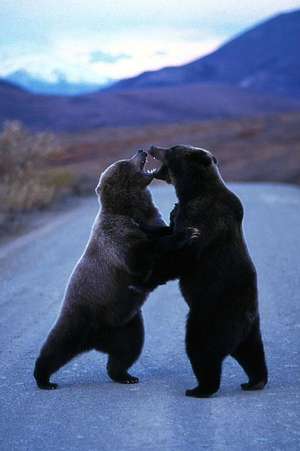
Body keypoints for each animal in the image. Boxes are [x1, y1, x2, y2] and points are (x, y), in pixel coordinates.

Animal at [149, 145, 268, 400]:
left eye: (171, 149)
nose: (153, 147)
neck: (192, 190)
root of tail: (245, 318)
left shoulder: (203, 218)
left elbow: (184, 257)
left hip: (211, 316)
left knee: (202, 349)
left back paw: (199, 389)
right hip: (250, 329)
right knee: (252, 353)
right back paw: (255, 381)